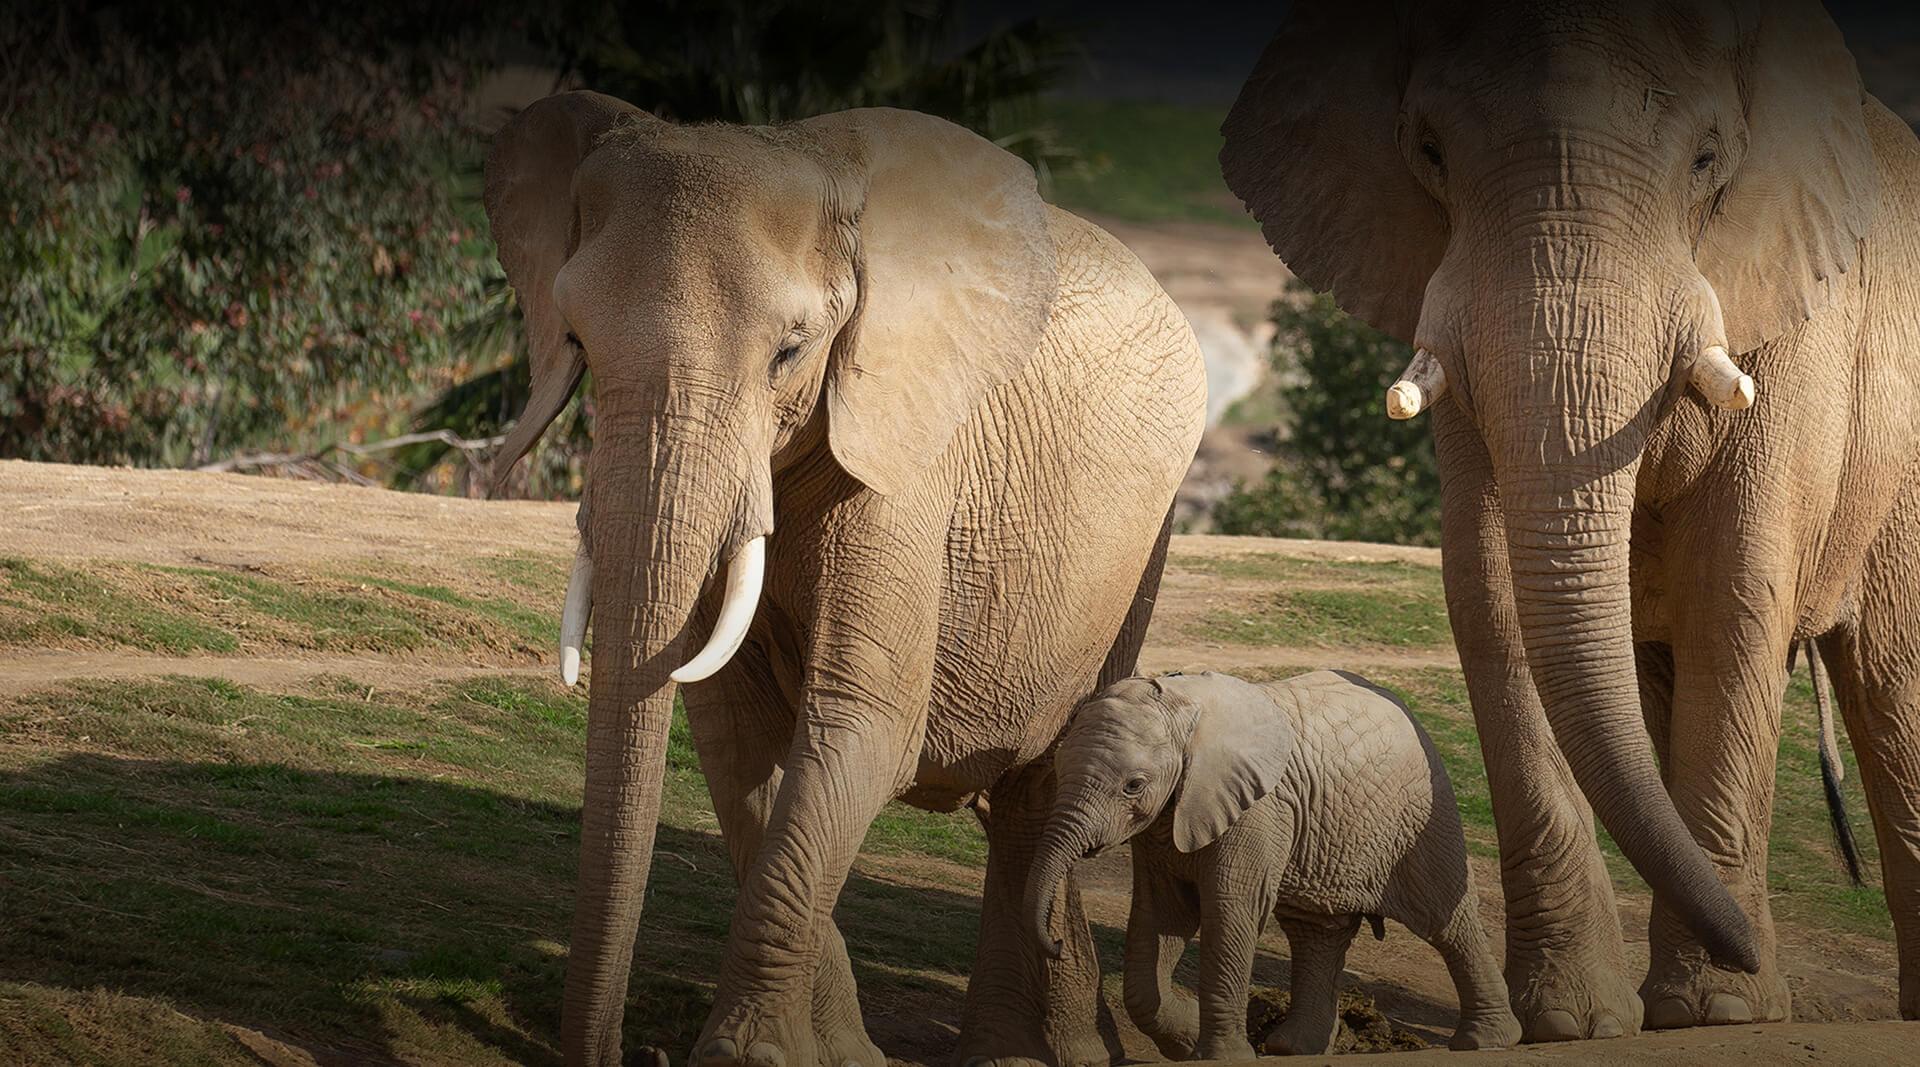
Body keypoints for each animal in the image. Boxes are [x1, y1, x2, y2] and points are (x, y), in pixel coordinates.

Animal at [482, 93, 1207, 1066]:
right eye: (578, 344)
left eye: (790, 352)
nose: (629, 1052)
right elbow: (736, 733)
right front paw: (829, 1054)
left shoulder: (908, 457)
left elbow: (865, 719)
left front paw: (743, 1055)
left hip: (1141, 547)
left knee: (1046, 775)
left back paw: (1032, 1052)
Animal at [1023, 671, 1520, 1059]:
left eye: (1133, 785)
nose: (1057, 943)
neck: (1181, 707)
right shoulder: (1166, 820)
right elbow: (1162, 916)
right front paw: (1188, 1039)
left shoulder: (1256, 811)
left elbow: (1231, 911)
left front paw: (1221, 1056)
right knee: (1315, 932)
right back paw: (1294, 1048)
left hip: (1420, 815)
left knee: (1445, 920)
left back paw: (1486, 1041)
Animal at [1219, 0, 1920, 1042]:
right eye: (1428, 151)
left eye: (1708, 159)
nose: (1748, 957)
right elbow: (1490, 588)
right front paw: (1574, 1021)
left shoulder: (1797, 326)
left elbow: (1734, 591)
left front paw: (1716, 1009)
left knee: (1892, 687)